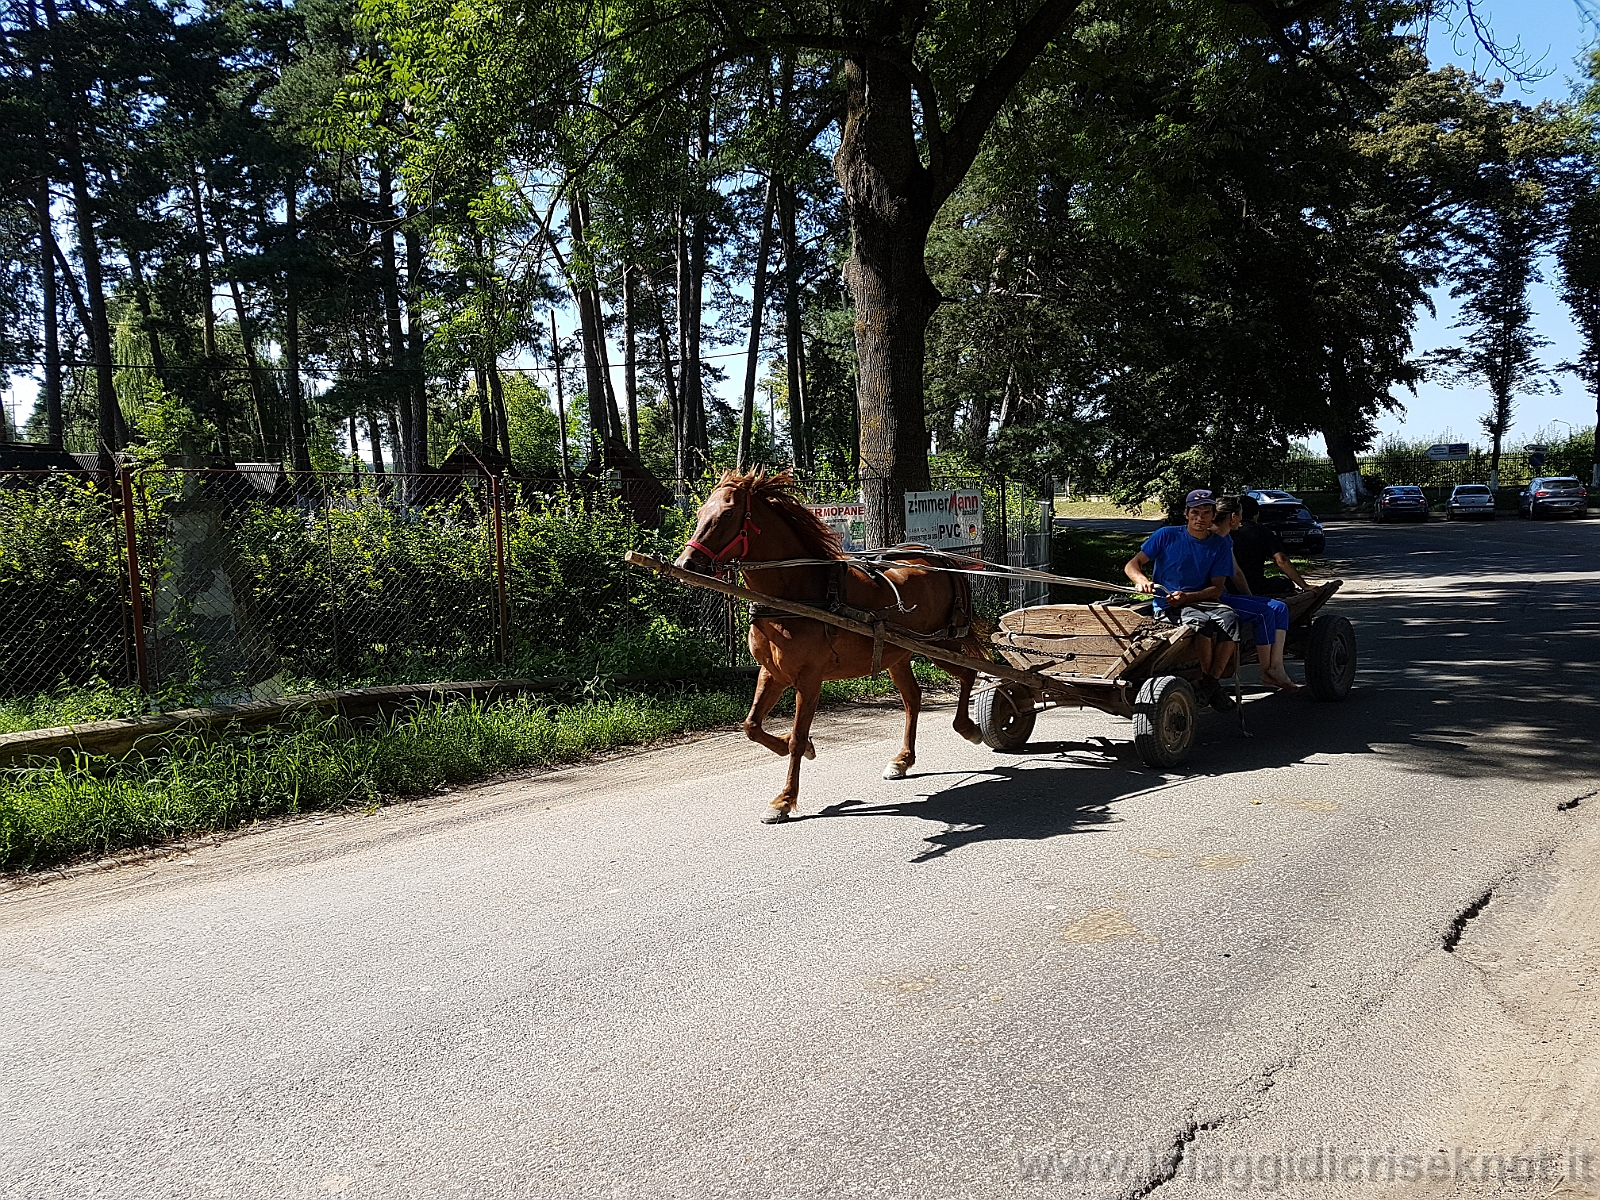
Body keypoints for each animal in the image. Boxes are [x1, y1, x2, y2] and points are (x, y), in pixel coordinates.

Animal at [675, 470, 985, 825]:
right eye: (701, 513)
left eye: (726, 514)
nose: (685, 563)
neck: (796, 594)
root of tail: (937, 557)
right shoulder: (772, 672)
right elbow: (752, 726)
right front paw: (798, 747)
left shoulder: (809, 680)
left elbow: (796, 739)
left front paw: (784, 800)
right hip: (898, 654)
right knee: (913, 699)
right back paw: (903, 759)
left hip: (942, 642)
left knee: (969, 674)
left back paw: (967, 726)